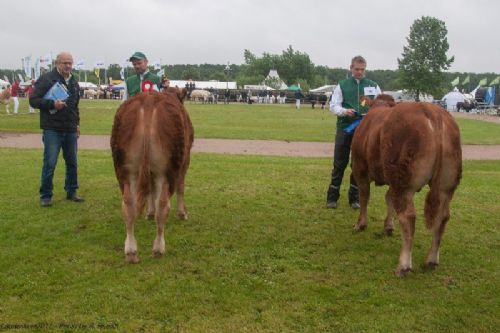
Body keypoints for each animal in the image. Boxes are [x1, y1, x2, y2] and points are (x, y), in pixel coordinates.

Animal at [111, 88, 193, 262]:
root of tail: (148, 100)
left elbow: (150, 192)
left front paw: (149, 212)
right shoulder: (185, 160)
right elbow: (181, 188)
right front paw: (182, 213)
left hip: (125, 169)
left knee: (128, 204)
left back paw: (131, 251)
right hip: (169, 169)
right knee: (163, 204)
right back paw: (158, 248)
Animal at [350, 93, 462, 274]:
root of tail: (432, 111)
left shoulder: (360, 169)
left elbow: (364, 197)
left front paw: (361, 224)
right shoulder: (390, 181)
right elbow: (388, 199)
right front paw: (388, 226)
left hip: (403, 183)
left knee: (408, 216)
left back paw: (404, 265)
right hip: (447, 185)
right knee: (442, 216)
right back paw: (431, 260)